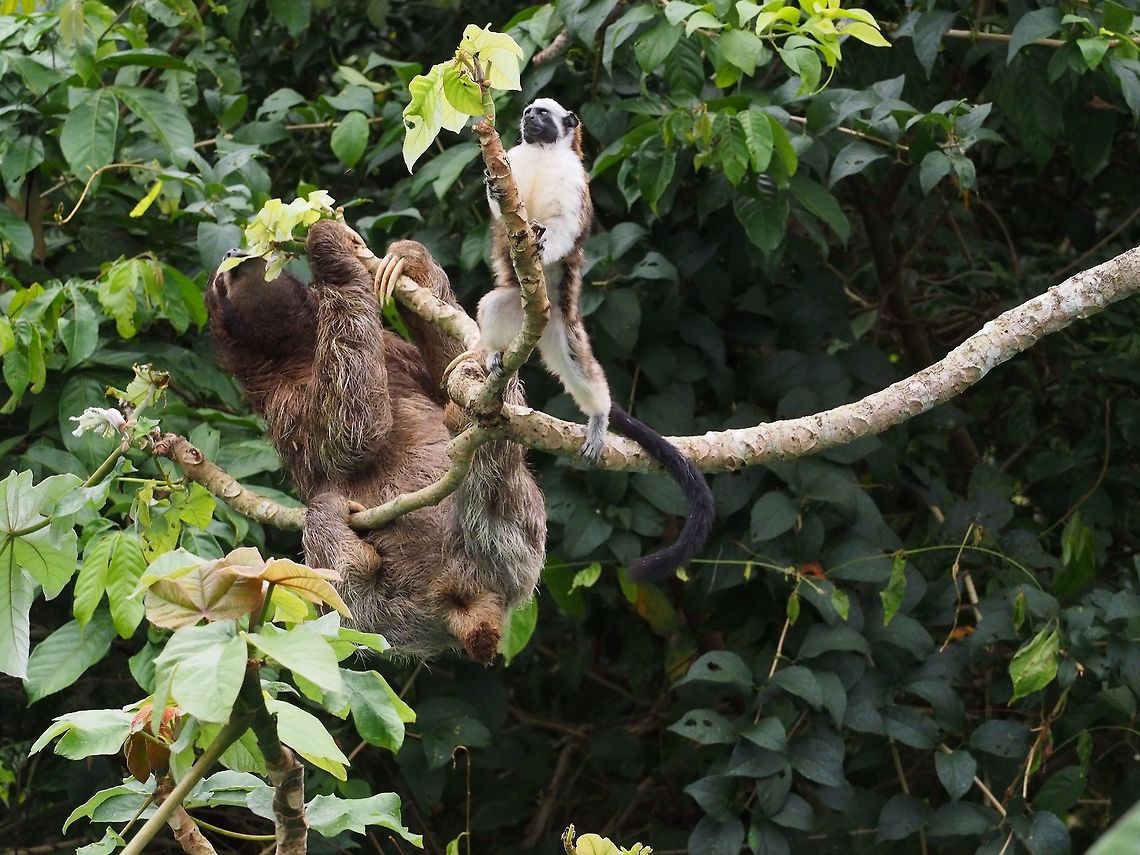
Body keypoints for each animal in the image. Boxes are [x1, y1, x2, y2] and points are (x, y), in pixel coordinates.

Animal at [206, 220, 546, 663]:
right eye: (218, 283)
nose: (232, 254)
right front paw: (330, 246)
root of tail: (468, 607)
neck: (298, 348)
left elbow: (449, 378)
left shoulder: (395, 348)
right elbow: (348, 435)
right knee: (340, 576)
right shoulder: (283, 404)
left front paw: (410, 262)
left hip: (522, 543)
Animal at [475, 97, 715, 584]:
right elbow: (500, 209)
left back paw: (600, 417)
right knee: (495, 303)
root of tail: (544, 316)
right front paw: (493, 186)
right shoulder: (515, 162)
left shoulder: (574, 182)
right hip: (521, 306)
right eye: (528, 110)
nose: (527, 118)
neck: (543, 155)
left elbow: (567, 227)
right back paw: (494, 354)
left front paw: (542, 242)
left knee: (578, 364)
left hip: (565, 323)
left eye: (542, 114)